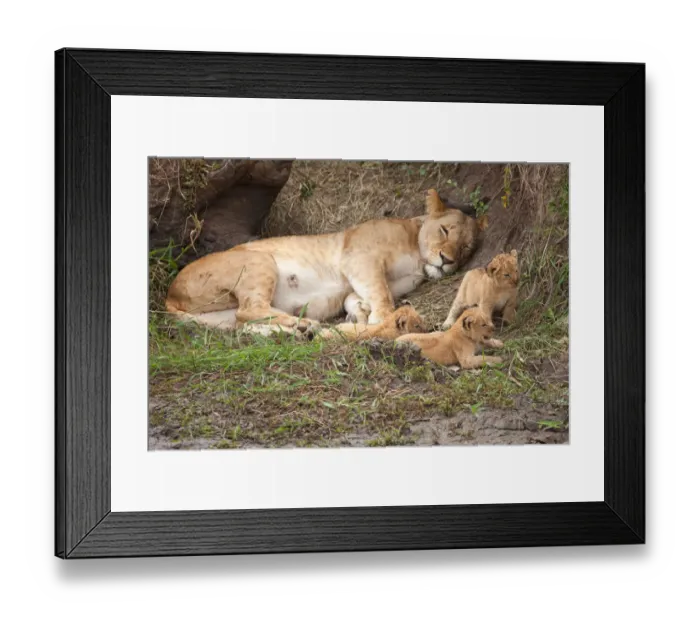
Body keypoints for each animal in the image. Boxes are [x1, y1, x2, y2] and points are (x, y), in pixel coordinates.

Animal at [165, 189, 478, 334]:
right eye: (445, 230)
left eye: (466, 248)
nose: (448, 260)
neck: (417, 254)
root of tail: (170, 294)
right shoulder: (360, 258)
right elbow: (381, 294)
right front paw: (379, 318)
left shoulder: (362, 278)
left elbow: (358, 297)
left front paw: (359, 313)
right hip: (259, 260)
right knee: (250, 309)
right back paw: (307, 324)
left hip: (223, 318)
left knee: (245, 321)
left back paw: (297, 332)